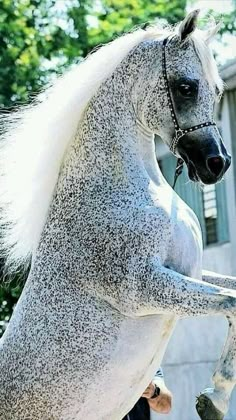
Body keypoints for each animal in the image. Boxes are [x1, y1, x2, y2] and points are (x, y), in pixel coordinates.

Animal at [0, 9, 236, 420]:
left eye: (217, 90)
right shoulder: (142, 286)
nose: (217, 163)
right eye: (186, 87)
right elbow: (233, 304)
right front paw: (214, 399)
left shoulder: (188, 270)